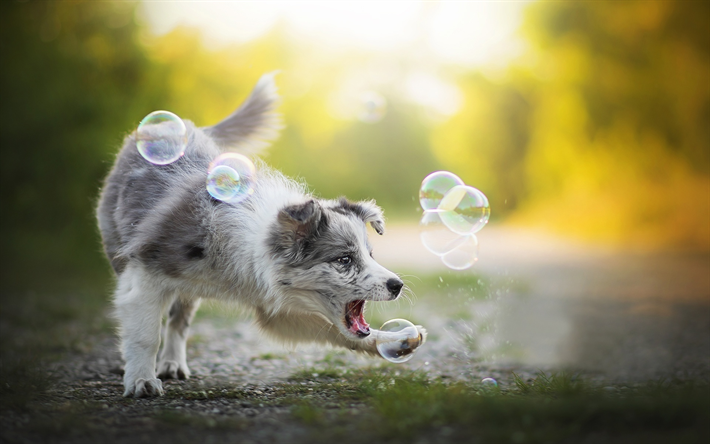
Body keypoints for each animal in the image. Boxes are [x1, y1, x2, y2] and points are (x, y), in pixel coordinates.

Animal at [96, 74, 426, 398]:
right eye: (344, 259)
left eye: (370, 255)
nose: (398, 285)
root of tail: (179, 124)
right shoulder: (146, 274)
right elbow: (145, 333)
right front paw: (141, 381)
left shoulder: (275, 305)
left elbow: (334, 330)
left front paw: (395, 340)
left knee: (181, 320)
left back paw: (173, 364)